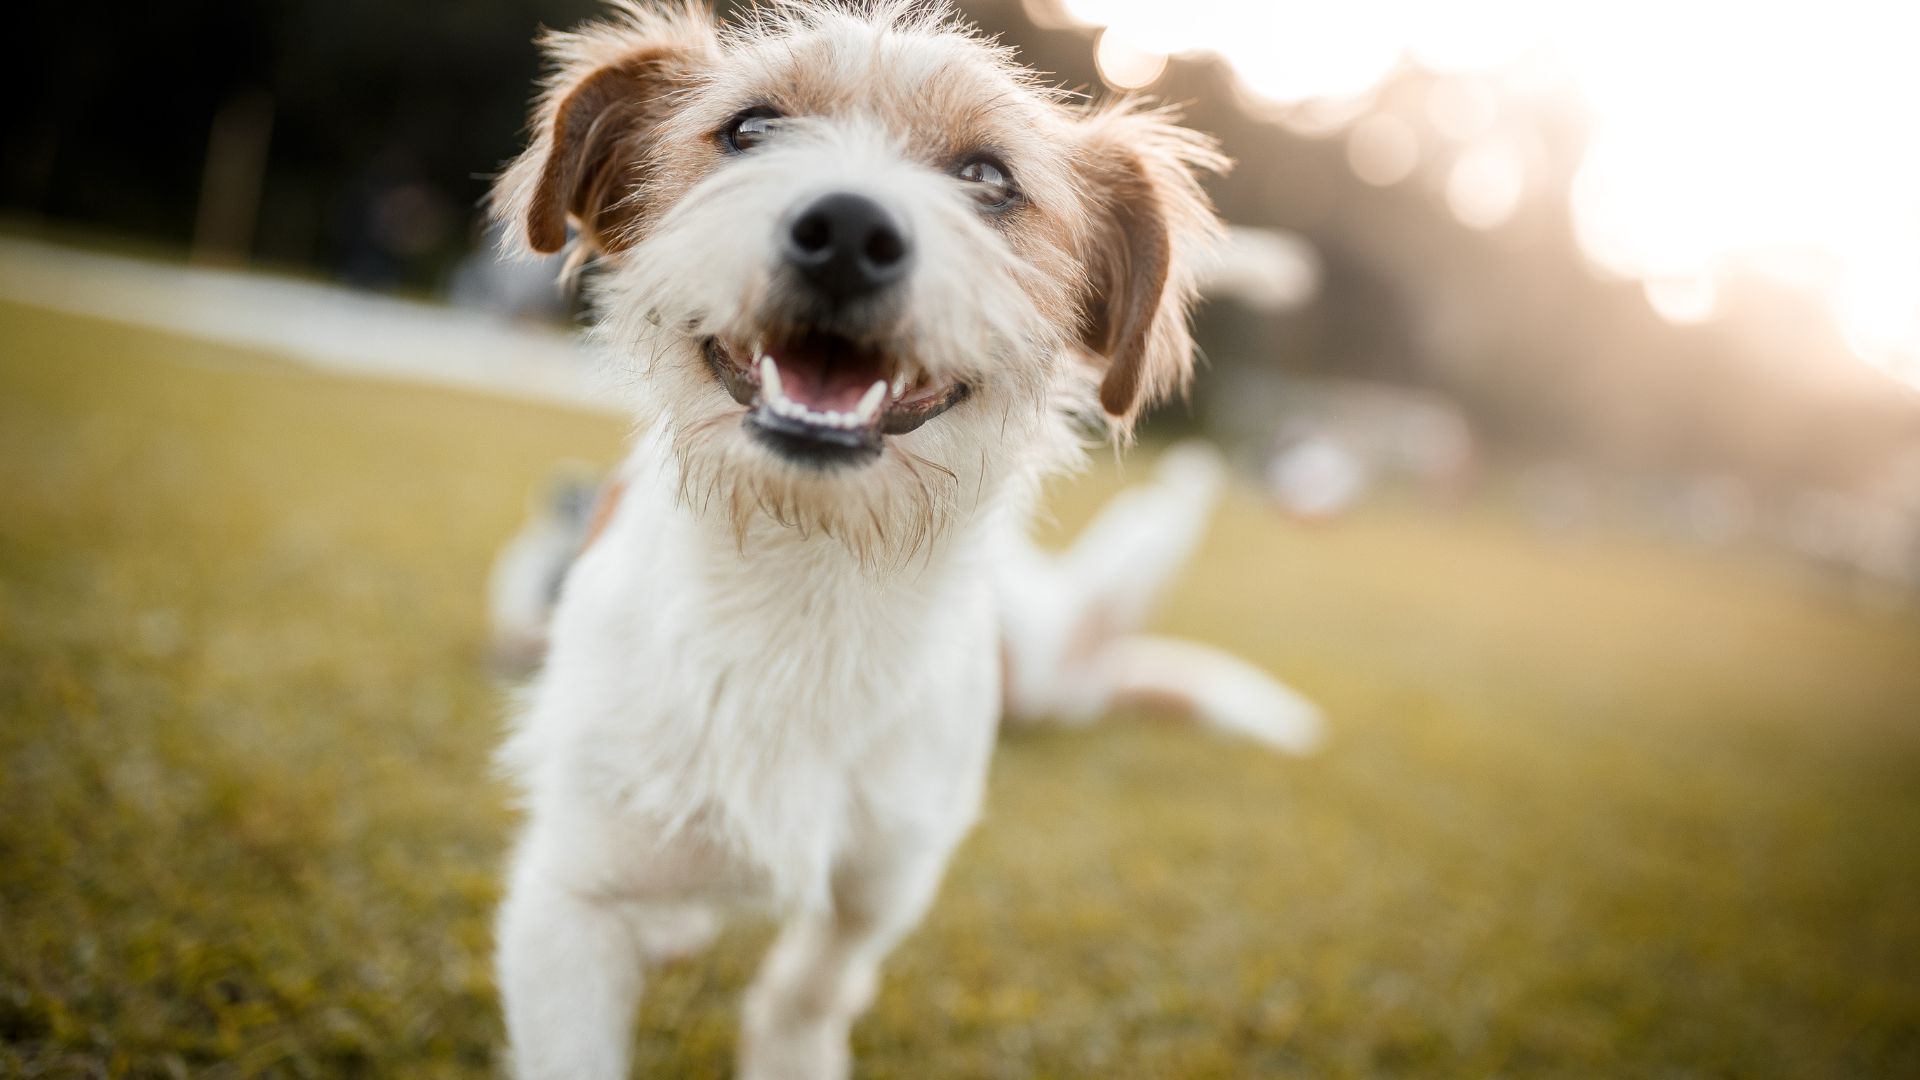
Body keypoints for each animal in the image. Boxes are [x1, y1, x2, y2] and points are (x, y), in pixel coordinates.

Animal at [487, 4, 1313, 1068]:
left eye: (988, 177)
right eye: (751, 129)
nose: (846, 230)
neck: (808, 572)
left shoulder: (890, 867)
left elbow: (816, 981)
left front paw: (792, 1047)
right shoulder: (570, 896)